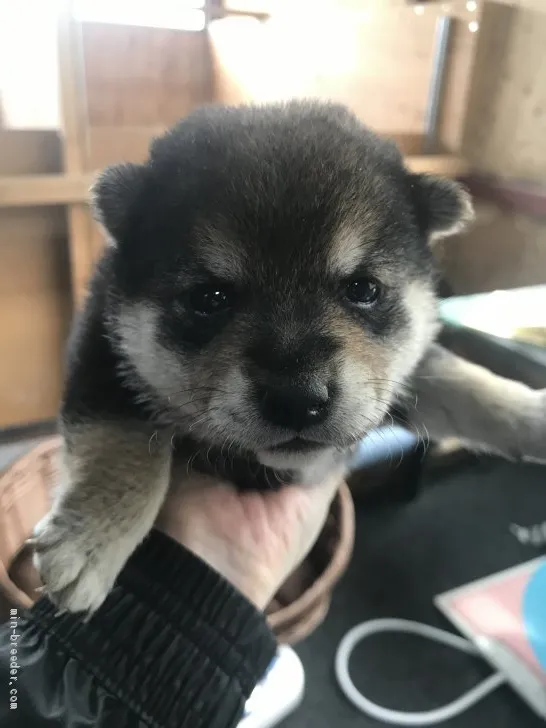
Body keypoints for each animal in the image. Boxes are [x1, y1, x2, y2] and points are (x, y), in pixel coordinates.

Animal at [33, 101, 480, 616]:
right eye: (210, 298)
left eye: (364, 289)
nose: (297, 400)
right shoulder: (105, 345)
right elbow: (125, 440)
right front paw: (90, 542)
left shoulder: (396, 377)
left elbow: (454, 379)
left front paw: (523, 415)